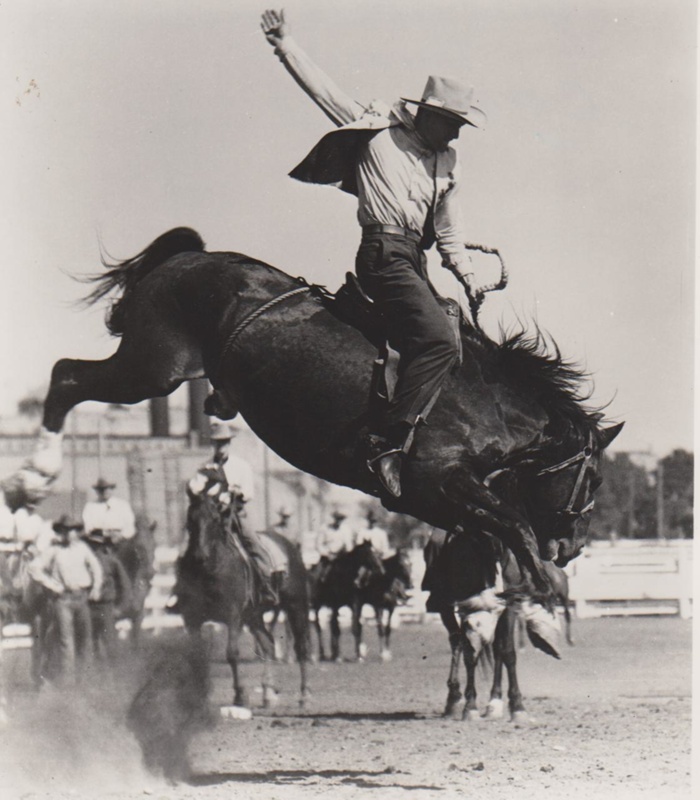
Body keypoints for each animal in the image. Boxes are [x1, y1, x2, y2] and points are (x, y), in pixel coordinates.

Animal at [8, 227, 624, 608]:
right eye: (592, 479)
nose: (574, 547)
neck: (480, 396)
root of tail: (187, 258)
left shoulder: (430, 500)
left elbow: (499, 525)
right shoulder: (437, 481)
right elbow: (513, 522)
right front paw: (544, 588)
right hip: (151, 368)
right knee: (66, 376)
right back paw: (34, 472)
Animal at [174, 484, 308, 708]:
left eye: (215, 518)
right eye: (190, 517)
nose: (200, 555)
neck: (210, 571)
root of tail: (290, 546)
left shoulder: (233, 616)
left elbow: (232, 653)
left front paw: (240, 695)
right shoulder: (192, 619)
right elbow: (195, 656)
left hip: (296, 607)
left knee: (300, 646)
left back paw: (304, 694)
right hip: (254, 616)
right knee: (268, 643)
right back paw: (268, 693)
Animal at [424, 528, 560, 720]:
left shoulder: (508, 607)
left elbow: (507, 652)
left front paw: (517, 707)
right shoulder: (466, 608)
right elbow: (467, 651)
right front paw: (470, 707)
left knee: (496, 649)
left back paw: (494, 702)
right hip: (445, 606)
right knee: (456, 641)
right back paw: (454, 699)